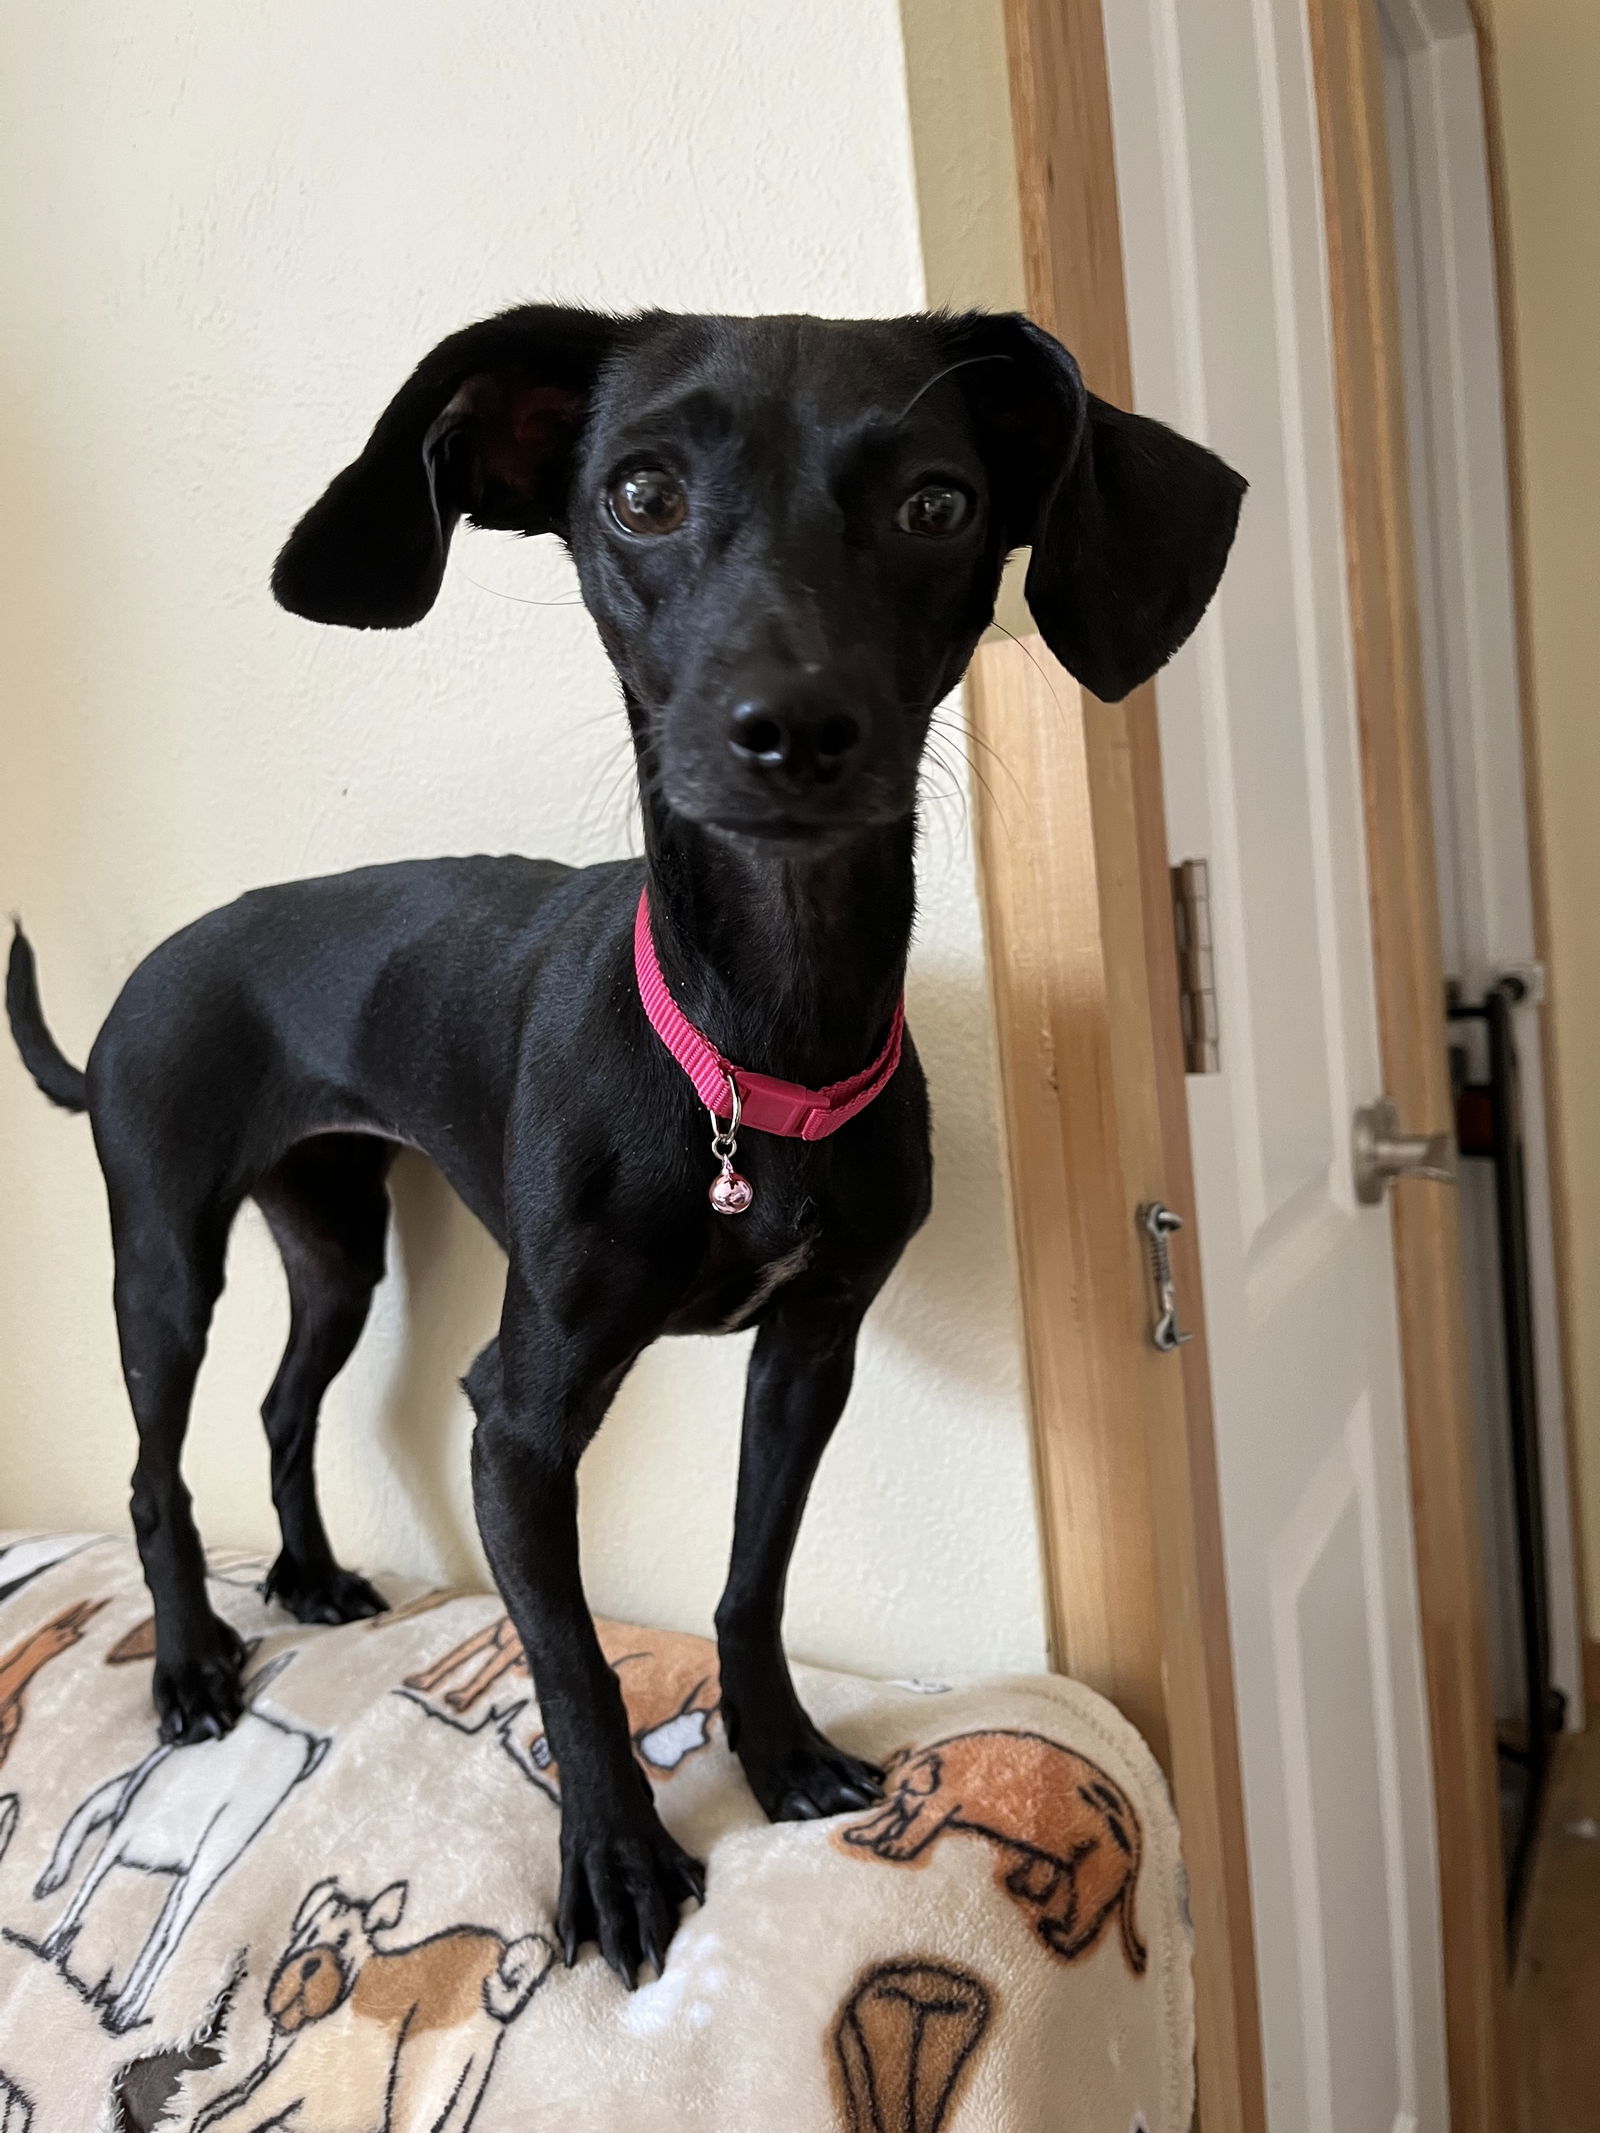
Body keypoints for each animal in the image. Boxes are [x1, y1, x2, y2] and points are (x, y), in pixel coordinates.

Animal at [6, 300, 1245, 1979]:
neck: (753, 1051)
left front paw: (778, 1753)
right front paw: (618, 1859)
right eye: (641, 495)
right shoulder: (518, 1419)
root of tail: (150, 973)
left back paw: (313, 1577)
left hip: (336, 1243)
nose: (791, 729)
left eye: (938, 502)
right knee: (157, 1464)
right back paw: (194, 1661)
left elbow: (751, 1580)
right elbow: (574, 1656)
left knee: (280, 1402)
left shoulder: (810, 1353)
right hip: (164, 1253)